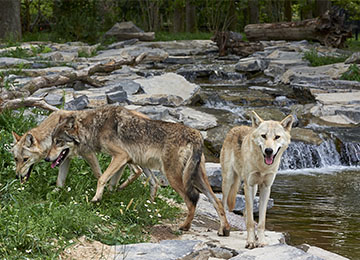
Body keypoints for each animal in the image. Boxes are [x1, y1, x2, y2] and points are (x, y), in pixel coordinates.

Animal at [11, 110, 158, 199]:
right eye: (16, 159)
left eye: (25, 159)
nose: (17, 176)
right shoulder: (65, 159)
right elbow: (60, 181)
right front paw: (54, 194)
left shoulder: (88, 154)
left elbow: (99, 175)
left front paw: (100, 195)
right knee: (148, 178)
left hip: (127, 158)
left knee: (137, 171)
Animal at [46, 105, 231, 236]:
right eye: (52, 140)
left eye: (58, 141)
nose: (47, 159)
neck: (95, 127)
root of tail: (196, 134)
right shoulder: (126, 160)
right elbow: (115, 182)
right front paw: (112, 196)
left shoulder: (121, 156)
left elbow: (102, 178)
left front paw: (96, 198)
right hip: (196, 178)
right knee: (217, 201)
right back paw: (224, 230)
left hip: (174, 177)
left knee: (192, 200)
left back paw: (184, 226)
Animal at [221, 111, 294, 248]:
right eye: (263, 136)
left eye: (277, 137)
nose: (269, 151)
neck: (262, 166)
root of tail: (235, 127)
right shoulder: (248, 186)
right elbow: (250, 220)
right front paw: (250, 242)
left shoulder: (266, 187)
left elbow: (261, 221)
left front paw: (260, 241)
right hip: (228, 180)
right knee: (222, 205)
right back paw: (222, 230)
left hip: (254, 188)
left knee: (245, 212)